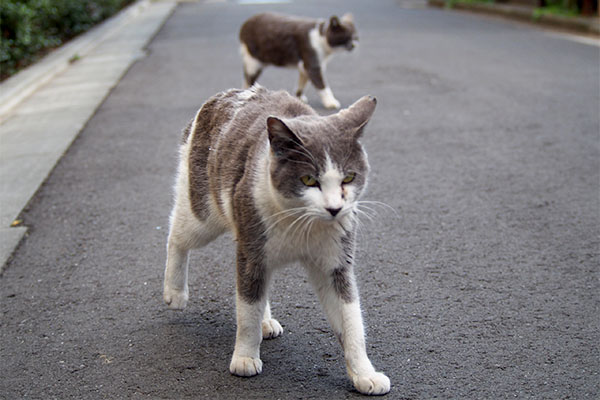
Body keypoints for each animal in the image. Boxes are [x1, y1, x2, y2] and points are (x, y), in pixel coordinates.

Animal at [163, 86, 390, 396]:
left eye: (349, 178)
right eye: (309, 180)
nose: (334, 208)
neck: (303, 225)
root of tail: (229, 93)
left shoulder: (335, 264)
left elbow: (351, 319)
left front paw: (365, 374)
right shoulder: (252, 250)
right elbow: (247, 310)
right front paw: (245, 358)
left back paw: (266, 321)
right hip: (204, 213)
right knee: (177, 234)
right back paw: (174, 292)